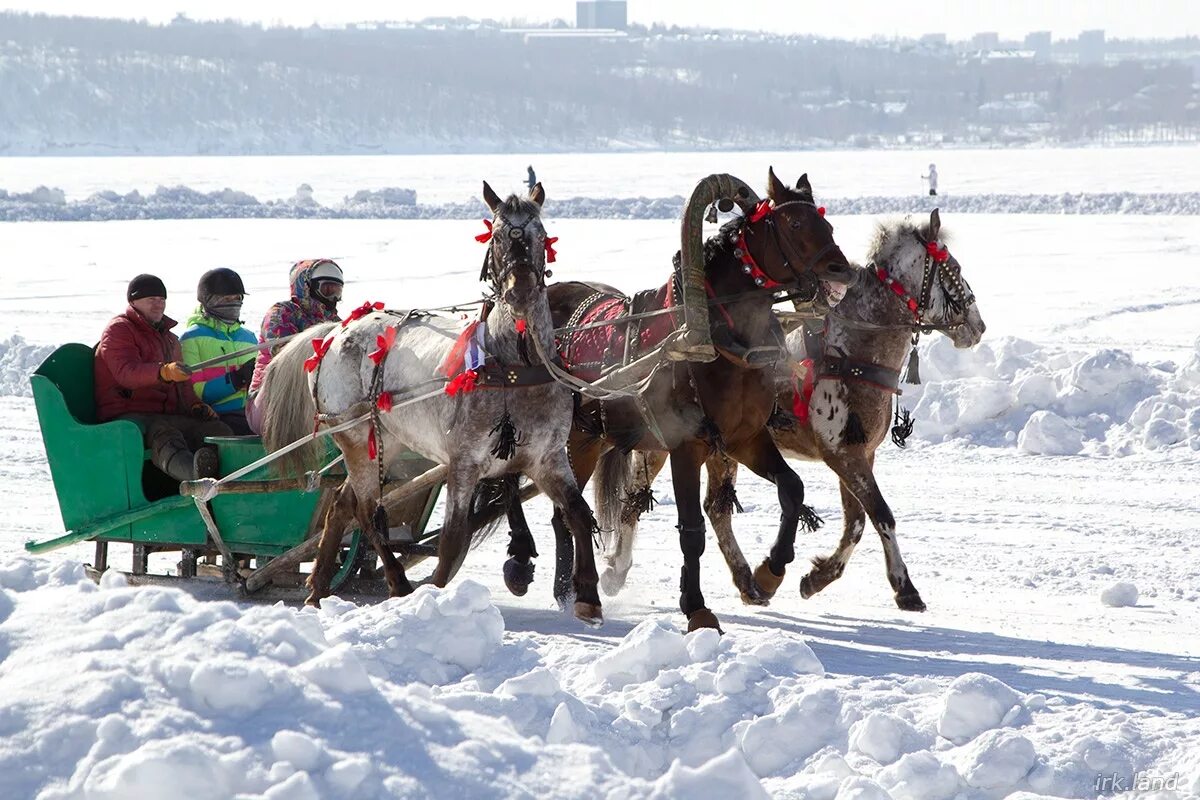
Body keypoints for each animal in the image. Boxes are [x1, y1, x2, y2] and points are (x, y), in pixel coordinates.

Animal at [494, 169, 854, 633]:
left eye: (825, 221)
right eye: (793, 223)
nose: (843, 270)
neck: (716, 338)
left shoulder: (744, 438)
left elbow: (792, 489)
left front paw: (768, 572)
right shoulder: (687, 446)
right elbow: (692, 530)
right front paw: (697, 607)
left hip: (587, 439)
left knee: (565, 513)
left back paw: (570, 591)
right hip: (555, 435)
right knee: (522, 489)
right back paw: (532, 568)